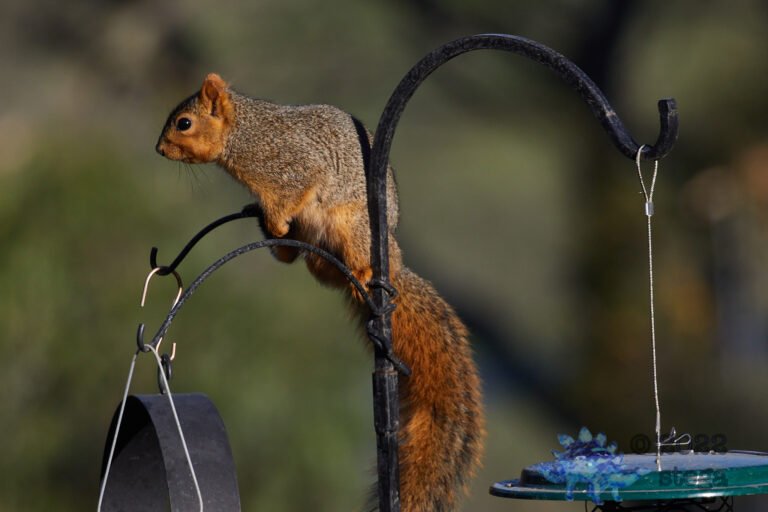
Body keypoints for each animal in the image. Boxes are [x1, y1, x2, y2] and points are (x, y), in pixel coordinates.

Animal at [156, 73, 485, 512]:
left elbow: (296, 189)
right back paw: (283, 244)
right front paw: (271, 223)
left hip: (356, 229)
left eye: (184, 123)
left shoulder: (293, 166)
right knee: (311, 265)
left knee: (367, 261)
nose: (159, 149)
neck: (243, 136)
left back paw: (363, 271)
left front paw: (277, 221)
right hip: (317, 246)